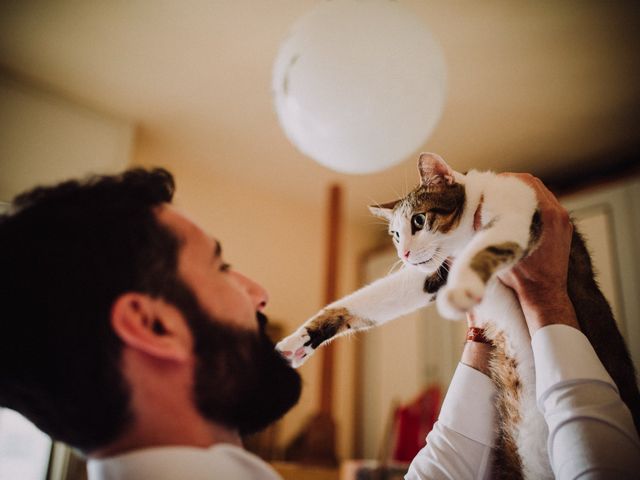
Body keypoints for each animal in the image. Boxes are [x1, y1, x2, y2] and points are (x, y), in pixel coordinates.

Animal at [276, 153, 640, 476]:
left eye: (418, 220)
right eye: (395, 234)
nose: (403, 254)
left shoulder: (517, 211)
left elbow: (486, 246)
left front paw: (461, 290)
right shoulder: (432, 273)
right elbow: (366, 300)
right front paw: (299, 340)